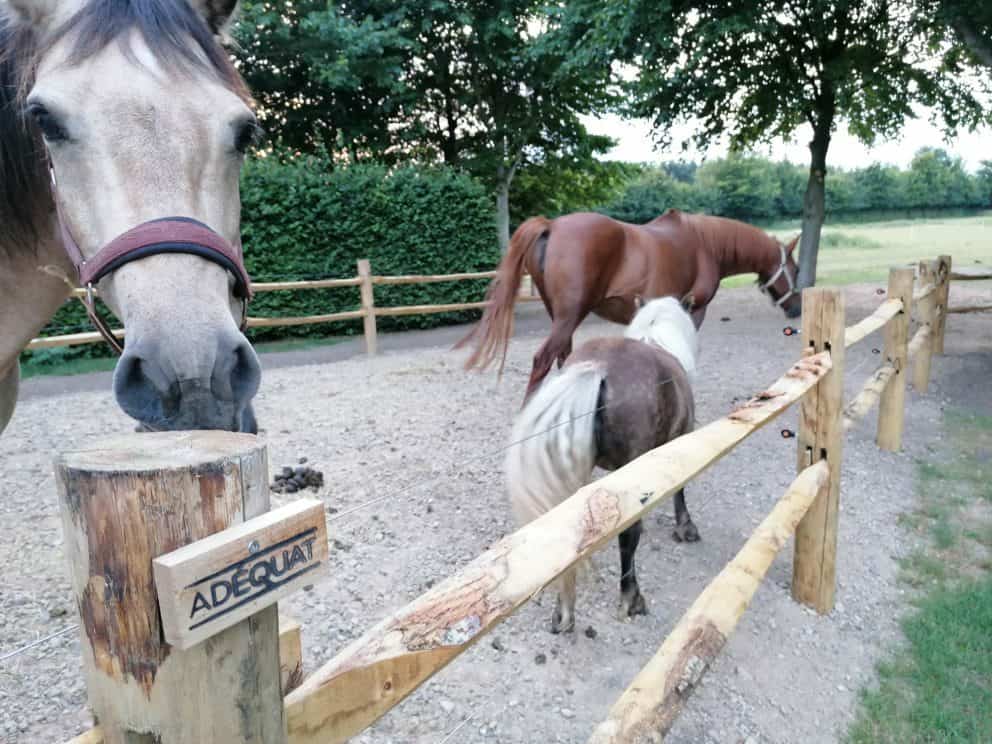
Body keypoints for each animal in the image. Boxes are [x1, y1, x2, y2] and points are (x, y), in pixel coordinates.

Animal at [462, 206, 804, 398]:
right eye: (796, 269)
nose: (797, 308)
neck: (705, 242)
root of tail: (552, 225)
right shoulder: (693, 312)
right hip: (569, 316)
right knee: (543, 361)